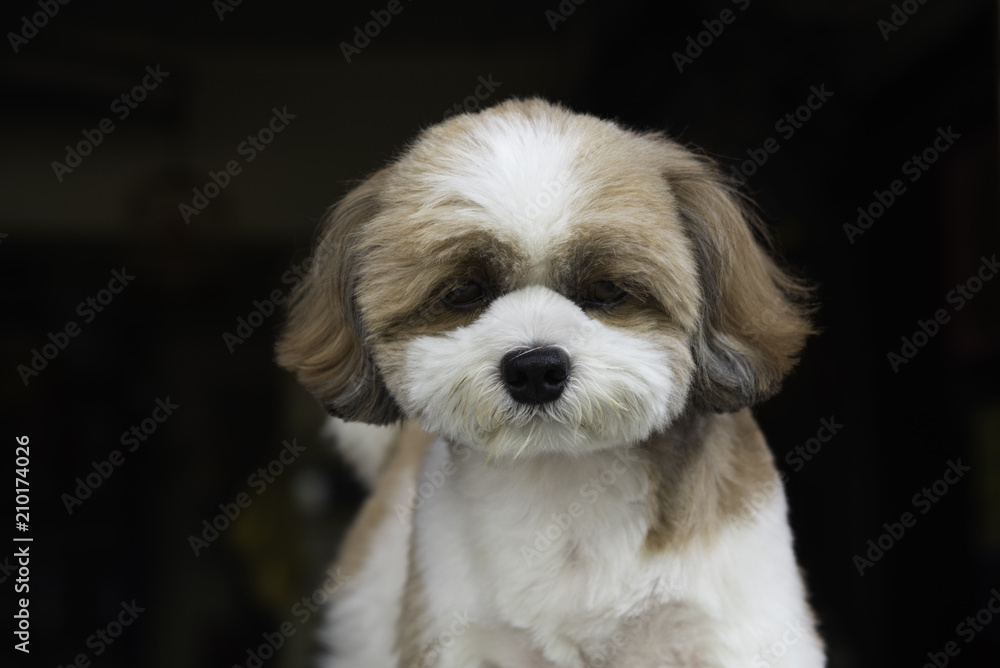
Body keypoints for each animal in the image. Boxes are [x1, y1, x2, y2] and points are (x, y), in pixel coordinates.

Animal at [278, 96, 824, 664]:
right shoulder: (458, 636)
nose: (536, 367)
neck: (564, 484)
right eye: (463, 291)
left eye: (607, 290)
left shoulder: (729, 631)